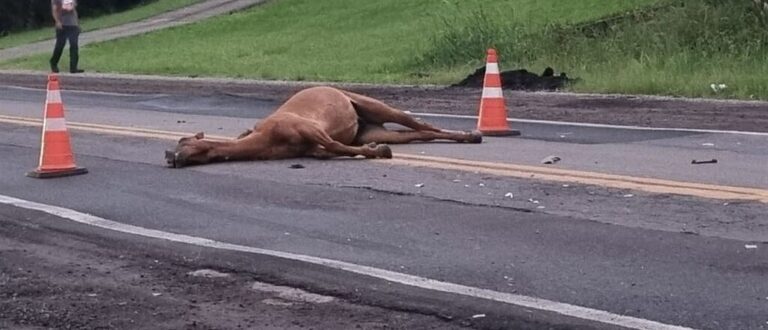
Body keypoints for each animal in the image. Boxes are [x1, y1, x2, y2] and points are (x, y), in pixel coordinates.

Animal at [166, 85, 484, 168]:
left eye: (186, 142)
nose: (170, 156)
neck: (267, 138)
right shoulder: (311, 145)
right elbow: (327, 150)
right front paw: (374, 148)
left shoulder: (309, 129)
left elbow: (332, 144)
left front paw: (378, 152)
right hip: (374, 127)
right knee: (419, 133)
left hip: (374, 105)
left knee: (423, 123)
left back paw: (472, 134)